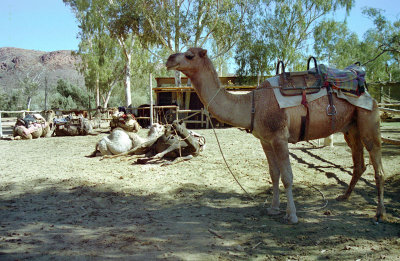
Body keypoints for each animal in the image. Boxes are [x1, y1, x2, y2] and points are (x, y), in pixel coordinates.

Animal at [165, 47, 384, 222]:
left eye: (190, 55)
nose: (169, 59)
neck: (253, 105)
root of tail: (367, 92)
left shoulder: (280, 137)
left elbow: (287, 176)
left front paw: (292, 215)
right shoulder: (265, 140)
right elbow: (274, 174)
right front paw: (273, 208)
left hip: (369, 121)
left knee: (377, 166)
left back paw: (379, 213)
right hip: (351, 128)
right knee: (359, 163)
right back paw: (344, 197)